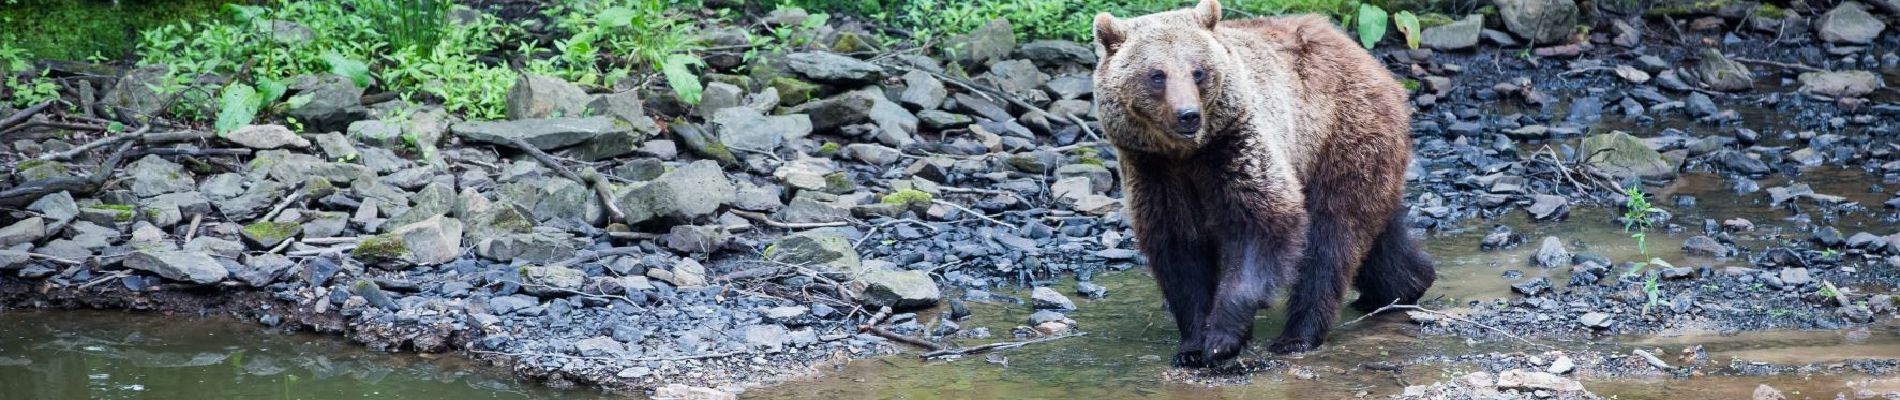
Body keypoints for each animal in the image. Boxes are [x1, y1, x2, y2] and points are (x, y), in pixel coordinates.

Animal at [1094, 0, 1428, 365]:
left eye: (1198, 71)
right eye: (1157, 75)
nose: (1188, 115)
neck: (1187, 154)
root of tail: (1376, 65)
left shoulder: (1234, 147)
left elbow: (1262, 224)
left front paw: (1222, 337)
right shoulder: (1154, 171)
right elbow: (1179, 249)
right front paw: (1192, 344)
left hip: (1341, 137)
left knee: (1331, 238)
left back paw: (1298, 335)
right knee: (1378, 233)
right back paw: (1406, 284)